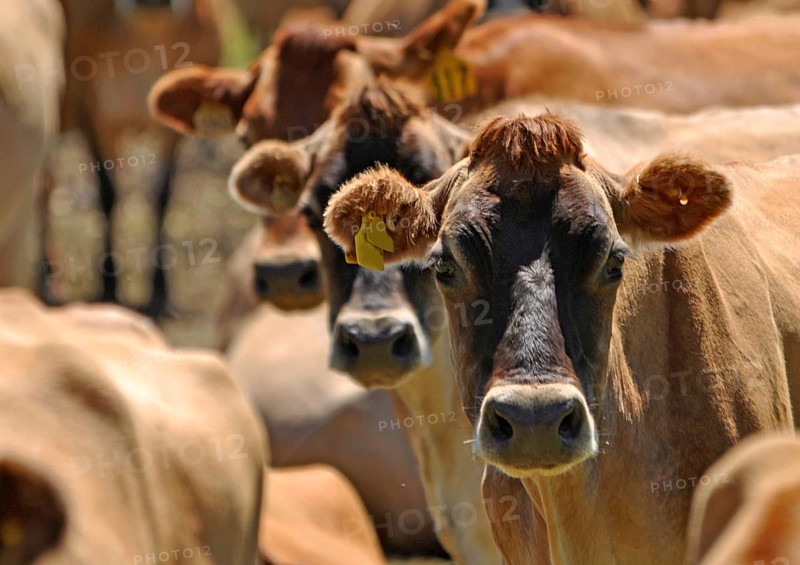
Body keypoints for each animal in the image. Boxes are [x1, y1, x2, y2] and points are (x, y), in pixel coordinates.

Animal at [50, 0, 223, 318]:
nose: (153, 2)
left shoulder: (173, 129)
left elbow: (162, 194)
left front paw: (160, 288)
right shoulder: (92, 113)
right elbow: (108, 193)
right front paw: (109, 284)